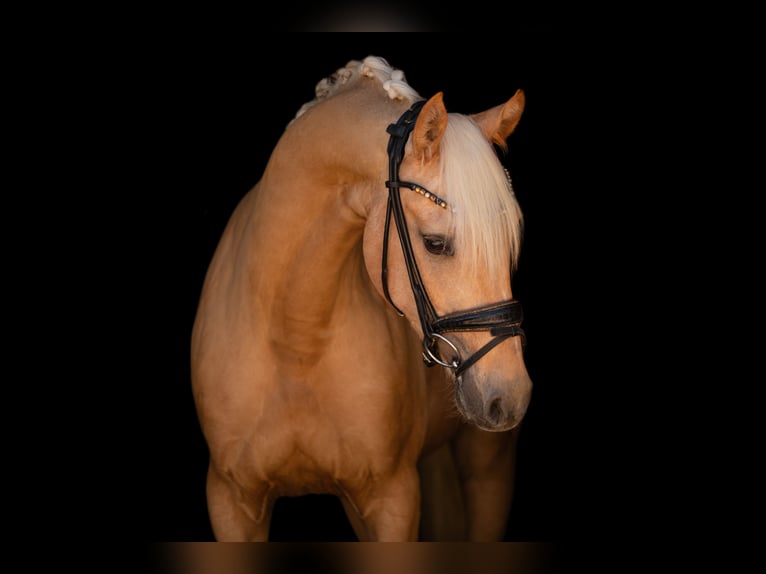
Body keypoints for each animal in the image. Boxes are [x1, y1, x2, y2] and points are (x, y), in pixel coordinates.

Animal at [191, 55, 532, 541]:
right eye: (434, 244)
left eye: (510, 244)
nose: (510, 395)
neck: (294, 340)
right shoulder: (231, 502)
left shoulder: (391, 498)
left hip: (489, 468)